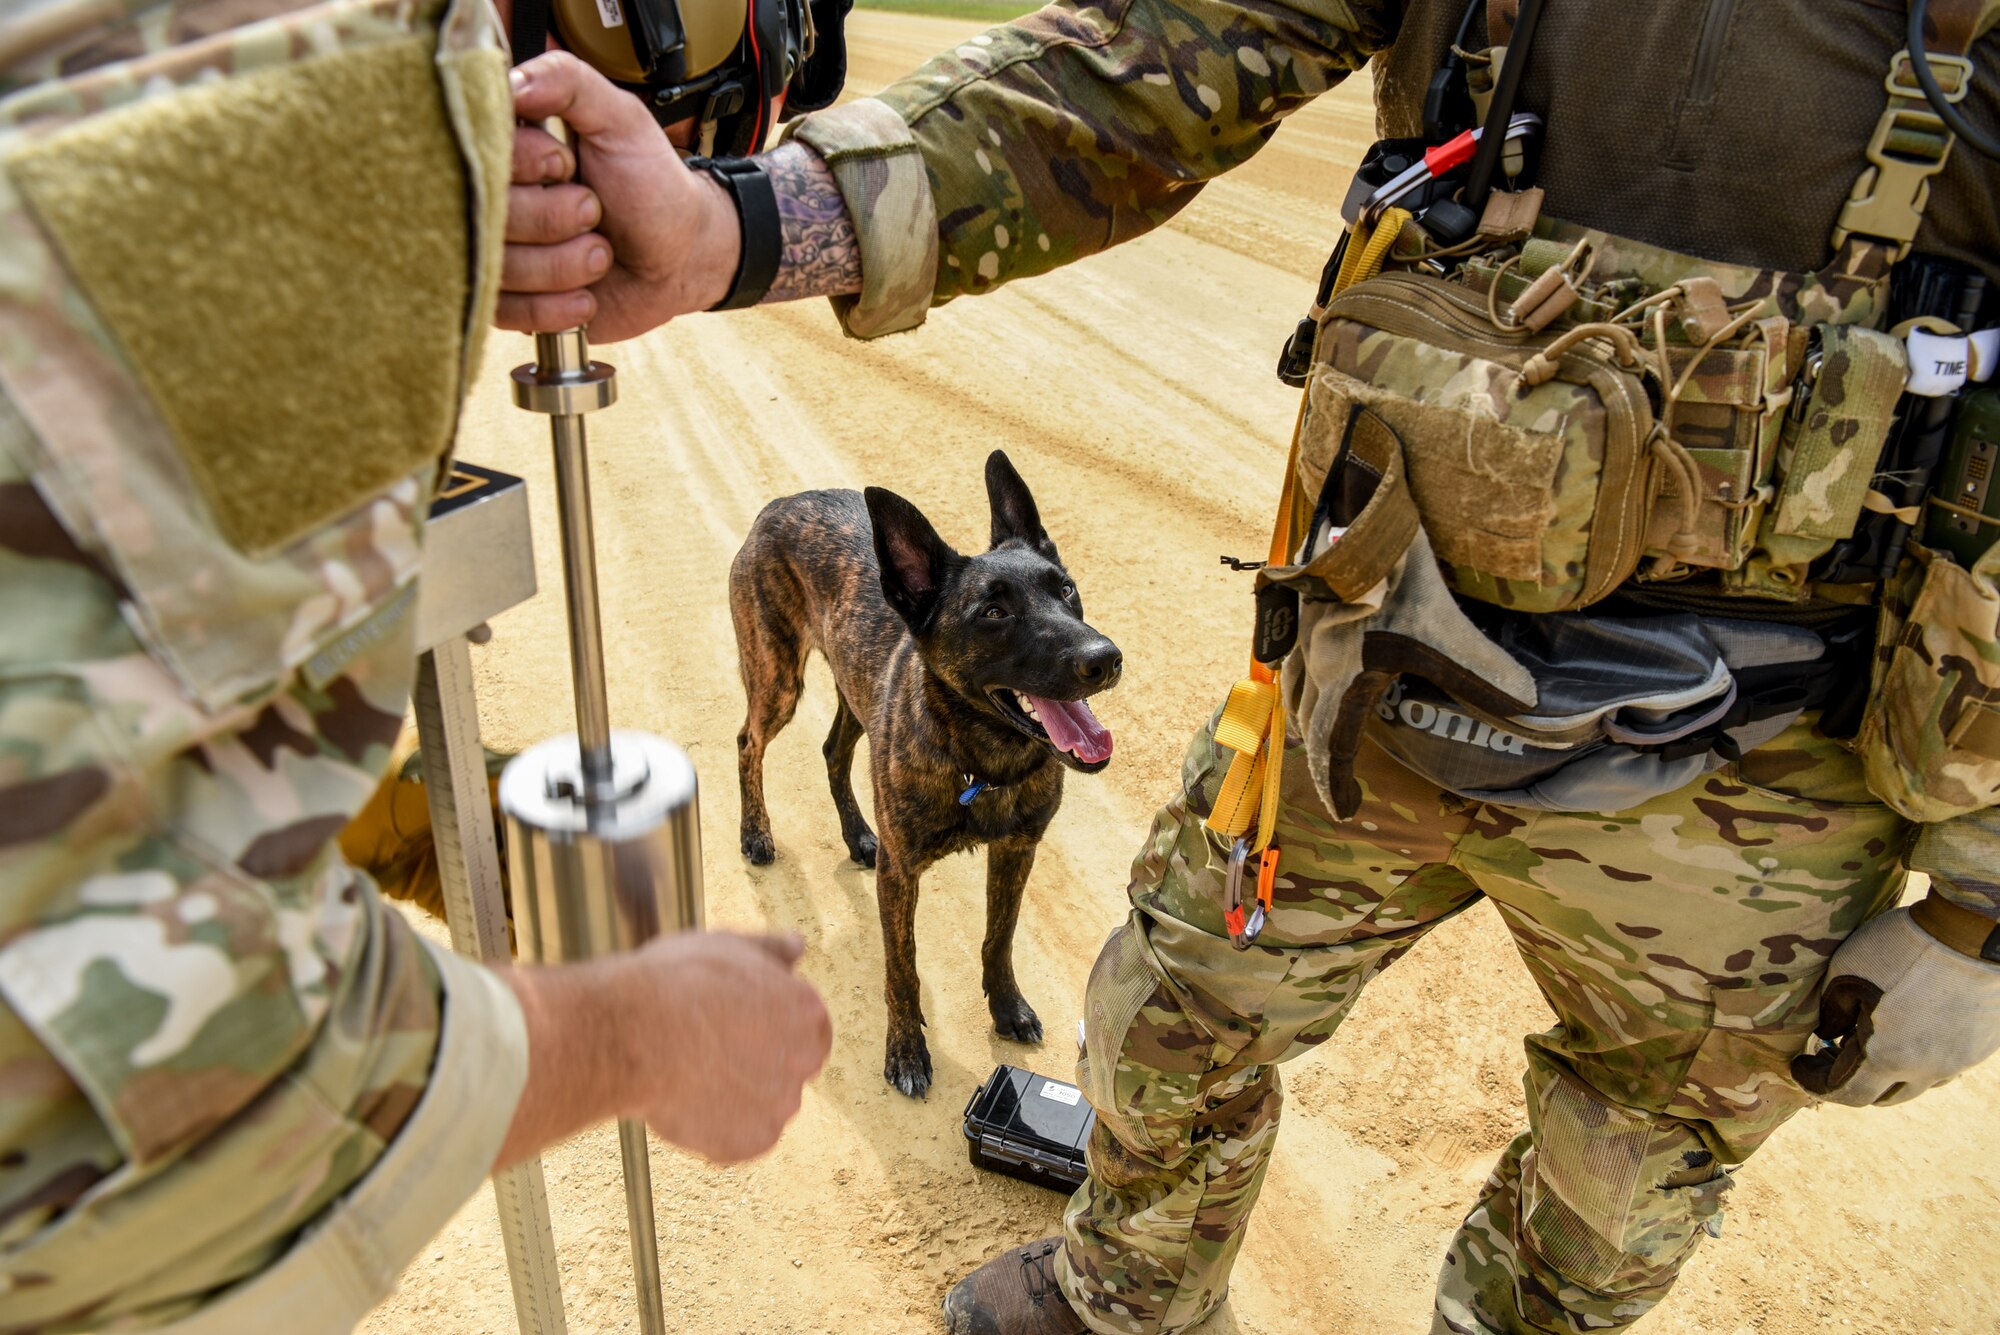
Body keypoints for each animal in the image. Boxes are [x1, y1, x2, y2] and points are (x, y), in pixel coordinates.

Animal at [732, 453, 1120, 1103]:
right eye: (993, 613)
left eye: (1065, 589)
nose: (1106, 658)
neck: (983, 762)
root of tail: (782, 504)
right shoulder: (901, 874)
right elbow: (902, 968)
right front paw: (906, 1052)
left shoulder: (1017, 850)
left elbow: (1000, 937)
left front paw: (1008, 1008)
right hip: (777, 678)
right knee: (747, 744)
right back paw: (756, 833)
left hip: (854, 692)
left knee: (834, 751)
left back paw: (858, 834)